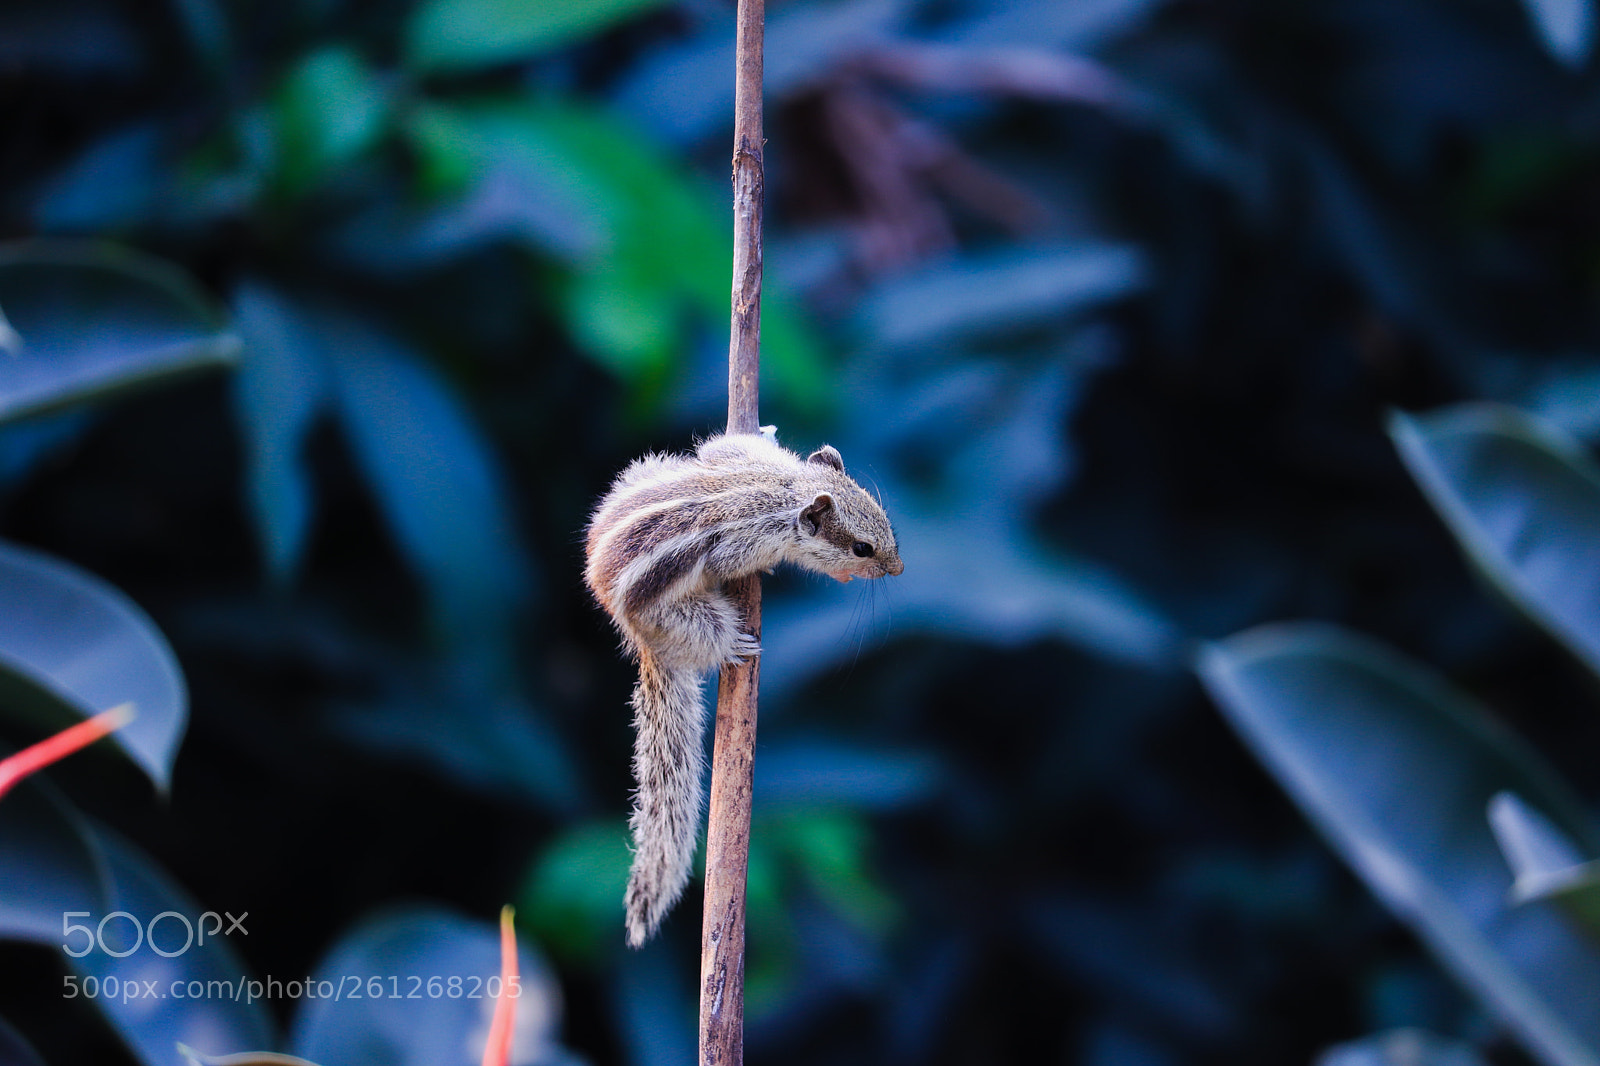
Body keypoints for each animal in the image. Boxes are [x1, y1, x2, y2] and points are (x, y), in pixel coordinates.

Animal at [585, 429, 903, 947]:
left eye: (884, 519)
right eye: (861, 548)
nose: (898, 569)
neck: (785, 489)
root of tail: (632, 630)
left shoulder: (737, 456)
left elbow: (721, 445)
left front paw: (765, 430)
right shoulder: (741, 545)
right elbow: (733, 561)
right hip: (677, 614)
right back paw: (732, 641)